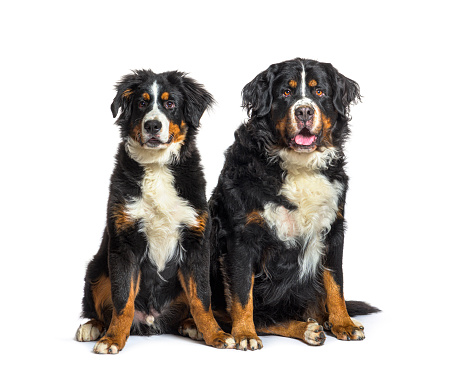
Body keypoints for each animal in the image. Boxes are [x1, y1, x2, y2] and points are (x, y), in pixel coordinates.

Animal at [75, 70, 235, 354]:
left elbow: (202, 298)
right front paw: (113, 338)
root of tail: (151, 321)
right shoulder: (124, 243)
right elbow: (122, 300)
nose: (152, 126)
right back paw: (93, 327)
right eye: (141, 103)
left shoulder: (196, 242)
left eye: (170, 103)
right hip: (96, 268)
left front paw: (215, 334)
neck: (157, 167)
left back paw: (191, 326)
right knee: (99, 306)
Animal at [208, 58, 380, 352]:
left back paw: (321, 322)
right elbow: (242, 294)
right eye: (286, 93)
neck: (300, 166)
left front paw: (343, 323)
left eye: (319, 92)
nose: (304, 111)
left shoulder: (334, 230)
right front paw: (244, 333)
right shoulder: (241, 237)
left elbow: (336, 283)